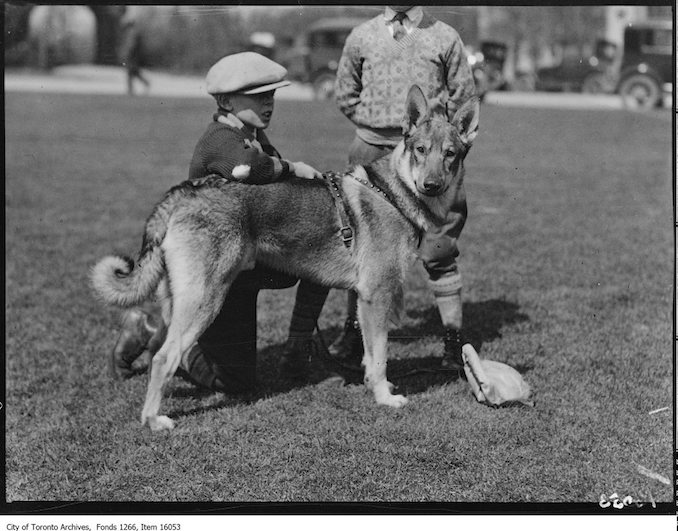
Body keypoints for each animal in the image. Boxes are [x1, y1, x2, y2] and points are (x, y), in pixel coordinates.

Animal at [91, 85, 484, 430]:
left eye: (449, 154)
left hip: (183, 301)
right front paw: (385, 398)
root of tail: (187, 191)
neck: (395, 193)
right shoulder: (376, 295)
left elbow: (370, 356)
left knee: (159, 342)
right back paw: (154, 420)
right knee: (163, 358)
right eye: (420, 149)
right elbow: (380, 358)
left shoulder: (366, 297)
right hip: (205, 301)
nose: (431, 185)